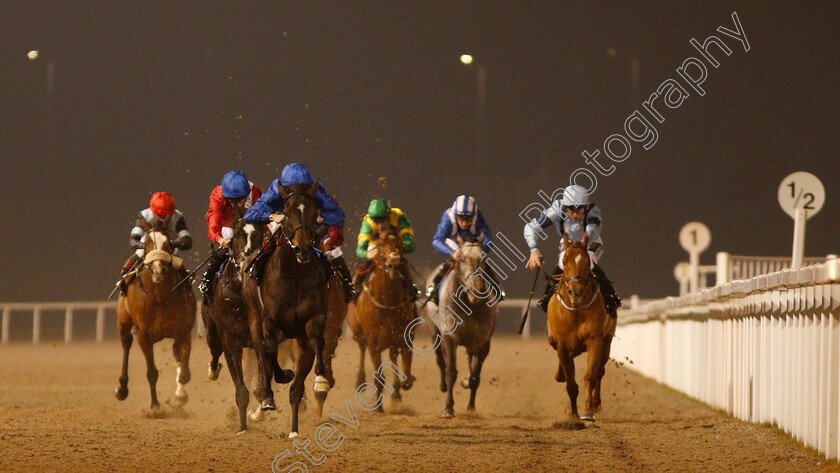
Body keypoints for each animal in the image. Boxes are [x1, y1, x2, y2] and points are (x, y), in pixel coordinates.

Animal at [115, 218, 197, 410]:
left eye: (168, 243)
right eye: (147, 243)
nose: (158, 270)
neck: (159, 297)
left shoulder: (183, 332)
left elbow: (184, 371)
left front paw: (180, 395)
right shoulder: (143, 336)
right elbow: (152, 372)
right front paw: (155, 406)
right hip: (123, 321)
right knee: (126, 344)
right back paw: (122, 388)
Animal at [240, 179, 332, 436]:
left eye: (314, 212)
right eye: (287, 212)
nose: (303, 249)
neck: (295, 275)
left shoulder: (314, 319)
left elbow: (316, 341)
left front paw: (320, 378)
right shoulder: (270, 322)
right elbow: (269, 349)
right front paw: (279, 379)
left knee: (295, 387)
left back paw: (293, 428)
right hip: (253, 320)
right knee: (262, 353)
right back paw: (266, 397)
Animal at [346, 225, 416, 410]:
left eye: (400, 241)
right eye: (382, 242)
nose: (394, 262)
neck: (388, 301)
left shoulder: (404, 337)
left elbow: (406, 373)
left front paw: (403, 385)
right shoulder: (373, 342)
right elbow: (379, 377)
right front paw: (378, 406)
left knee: (392, 357)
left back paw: (397, 391)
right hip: (359, 333)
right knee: (362, 348)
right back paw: (360, 381)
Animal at [426, 234, 498, 414]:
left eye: (483, 258)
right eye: (463, 259)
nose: (477, 289)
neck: (468, 305)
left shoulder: (482, 342)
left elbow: (475, 376)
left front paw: (471, 406)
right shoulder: (449, 338)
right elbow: (451, 371)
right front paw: (448, 408)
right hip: (434, 332)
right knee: (440, 360)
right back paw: (443, 385)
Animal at [548, 231, 612, 420]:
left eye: (587, 261)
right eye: (564, 261)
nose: (575, 291)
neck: (575, 311)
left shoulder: (595, 341)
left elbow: (590, 376)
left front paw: (587, 410)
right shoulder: (562, 345)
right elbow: (570, 383)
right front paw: (573, 414)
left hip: (607, 342)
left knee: (600, 371)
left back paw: (596, 403)